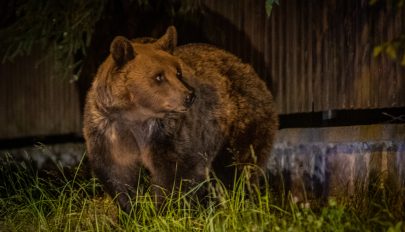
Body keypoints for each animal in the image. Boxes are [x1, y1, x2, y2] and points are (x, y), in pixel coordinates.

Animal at [82, 26, 278, 213]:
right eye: (159, 76)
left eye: (178, 72)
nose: (189, 96)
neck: (136, 117)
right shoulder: (108, 131)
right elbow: (117, 174)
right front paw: (131, 210)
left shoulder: (168, 133)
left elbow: (177, 172)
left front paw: (163, 209)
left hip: (242, 123)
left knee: (240, 165)